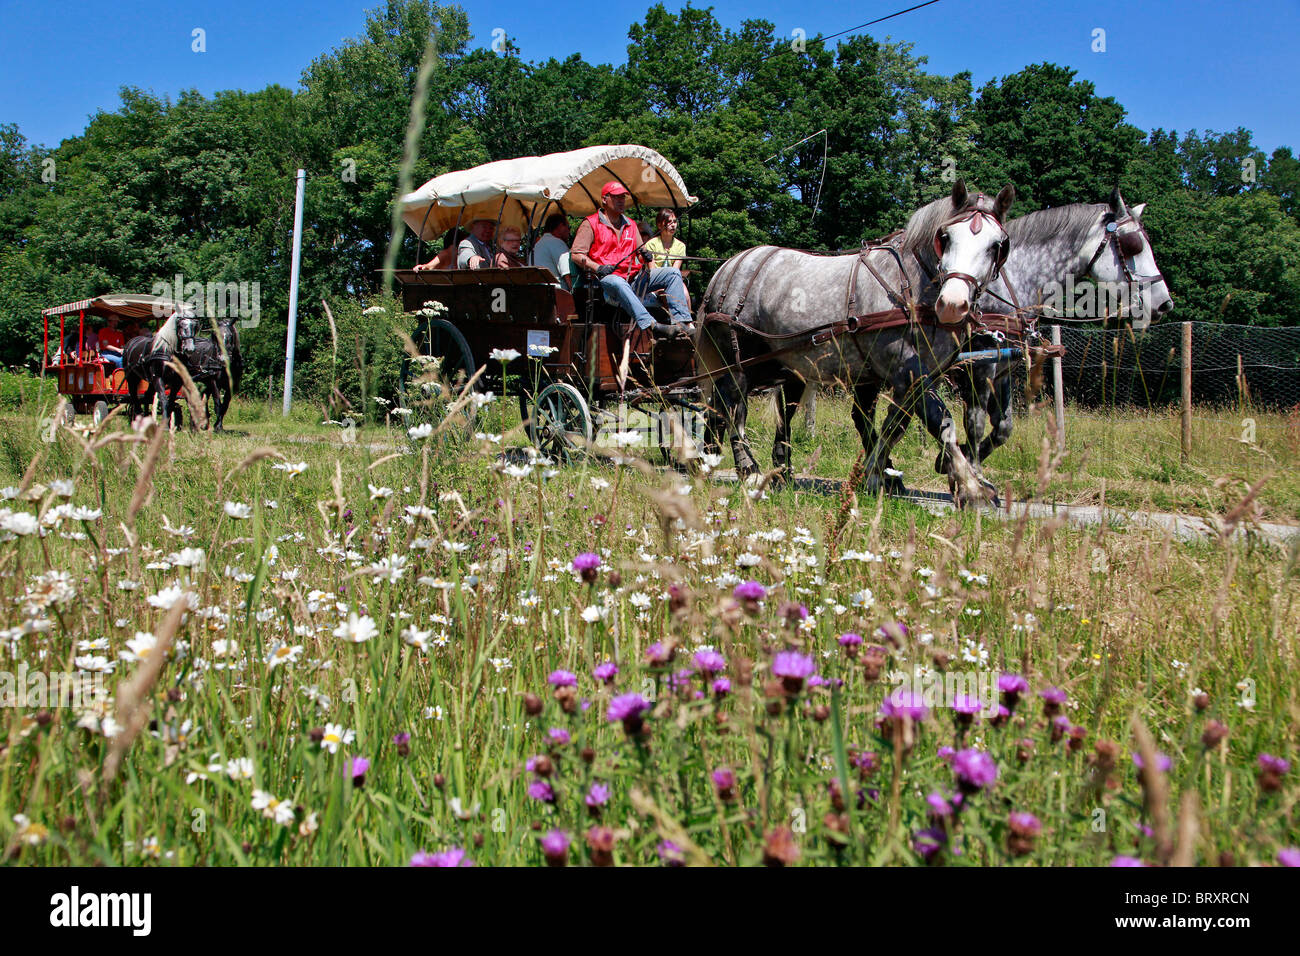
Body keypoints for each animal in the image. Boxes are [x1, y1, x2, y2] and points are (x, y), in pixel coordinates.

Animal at [696, 179, 1008, 509]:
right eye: (945, 238)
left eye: (997, 245)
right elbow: (940, 422)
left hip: (774, 365)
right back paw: (749, 470)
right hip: (738, 358)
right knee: (732, 408)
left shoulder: (910, 377)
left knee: (729, 408)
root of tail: (728, 267)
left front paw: (880, 475)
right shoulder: (908, 372)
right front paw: (972, 488)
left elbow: (894, 426)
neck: (912, 289)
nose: (953, 303)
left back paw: (721, 463)